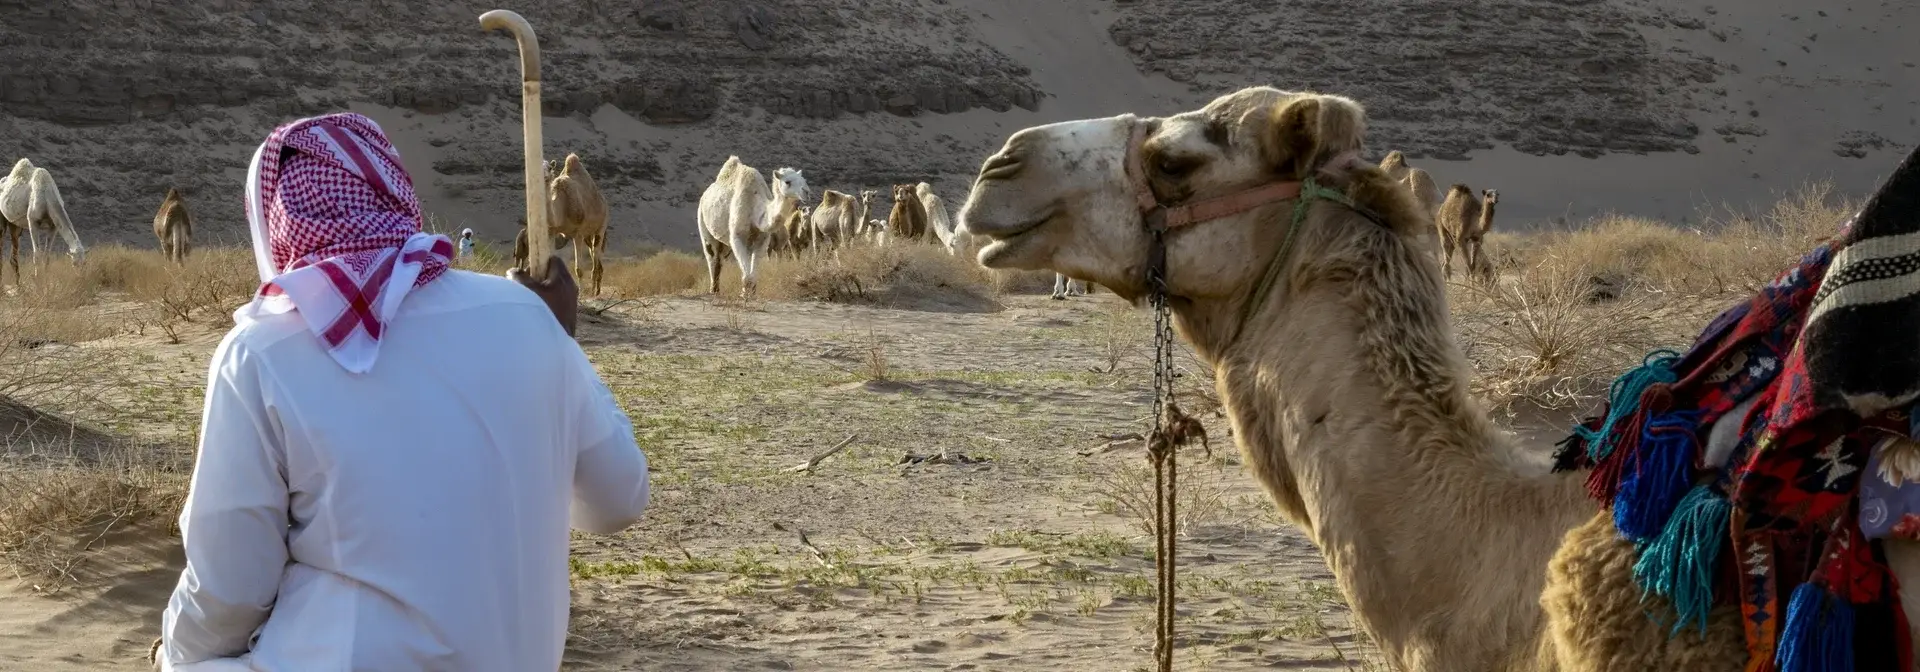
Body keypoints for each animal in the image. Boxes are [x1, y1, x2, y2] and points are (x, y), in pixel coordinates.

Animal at [697, 157, 807, 297]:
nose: (806, 191)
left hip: (725, 243)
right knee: (711, 256)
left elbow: (753, 273)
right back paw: (713, 290)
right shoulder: (737, 237)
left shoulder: (762, 239)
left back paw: (717, 289)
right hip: (702, 221)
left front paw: (752, 293)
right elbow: (746, 274)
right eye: (788, 182)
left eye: (804, 180)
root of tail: (704, 195)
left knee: (720, 259)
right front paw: (744, 294)